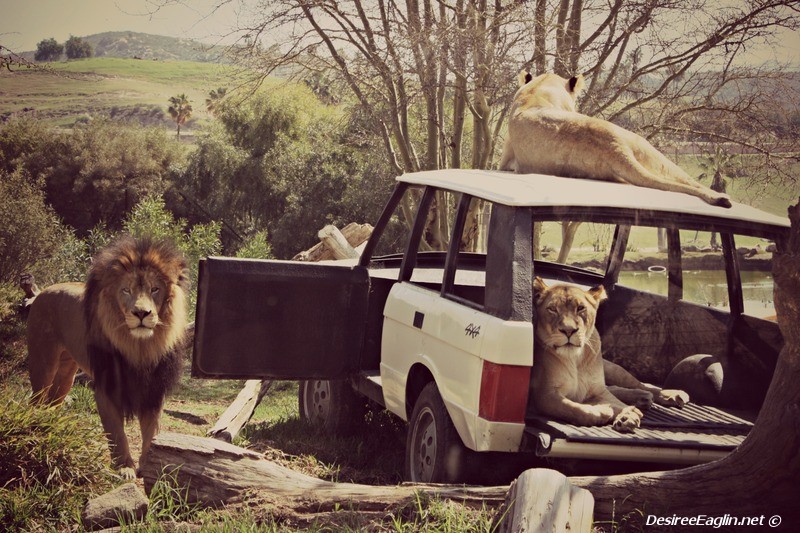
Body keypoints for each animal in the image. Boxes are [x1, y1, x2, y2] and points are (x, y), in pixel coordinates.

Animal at [26, 236, 188, 478]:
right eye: (126, 290)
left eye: (155, 289)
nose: (142, 313)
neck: (139, 347)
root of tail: (42, 292)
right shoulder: (105, 388)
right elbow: (116, 433)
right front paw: (125, 468)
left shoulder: (154, 389)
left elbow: (152, 432)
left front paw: (150, 465)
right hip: (42, 363)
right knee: (36, 400)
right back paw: (37, 429)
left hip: (66, 372)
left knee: (53, 401)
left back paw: (52, 427)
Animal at [531, 278, 689, 432]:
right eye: (552, 309)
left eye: (581, 308)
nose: (568, 330)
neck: (575, 358)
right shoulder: (545, 395)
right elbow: (573, 408)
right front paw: (603, 411)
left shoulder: (598, 391)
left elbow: (616, 402)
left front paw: (627, 415)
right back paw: (642, 399)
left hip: (614, 370)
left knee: (638, 385)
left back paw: (668, 395)